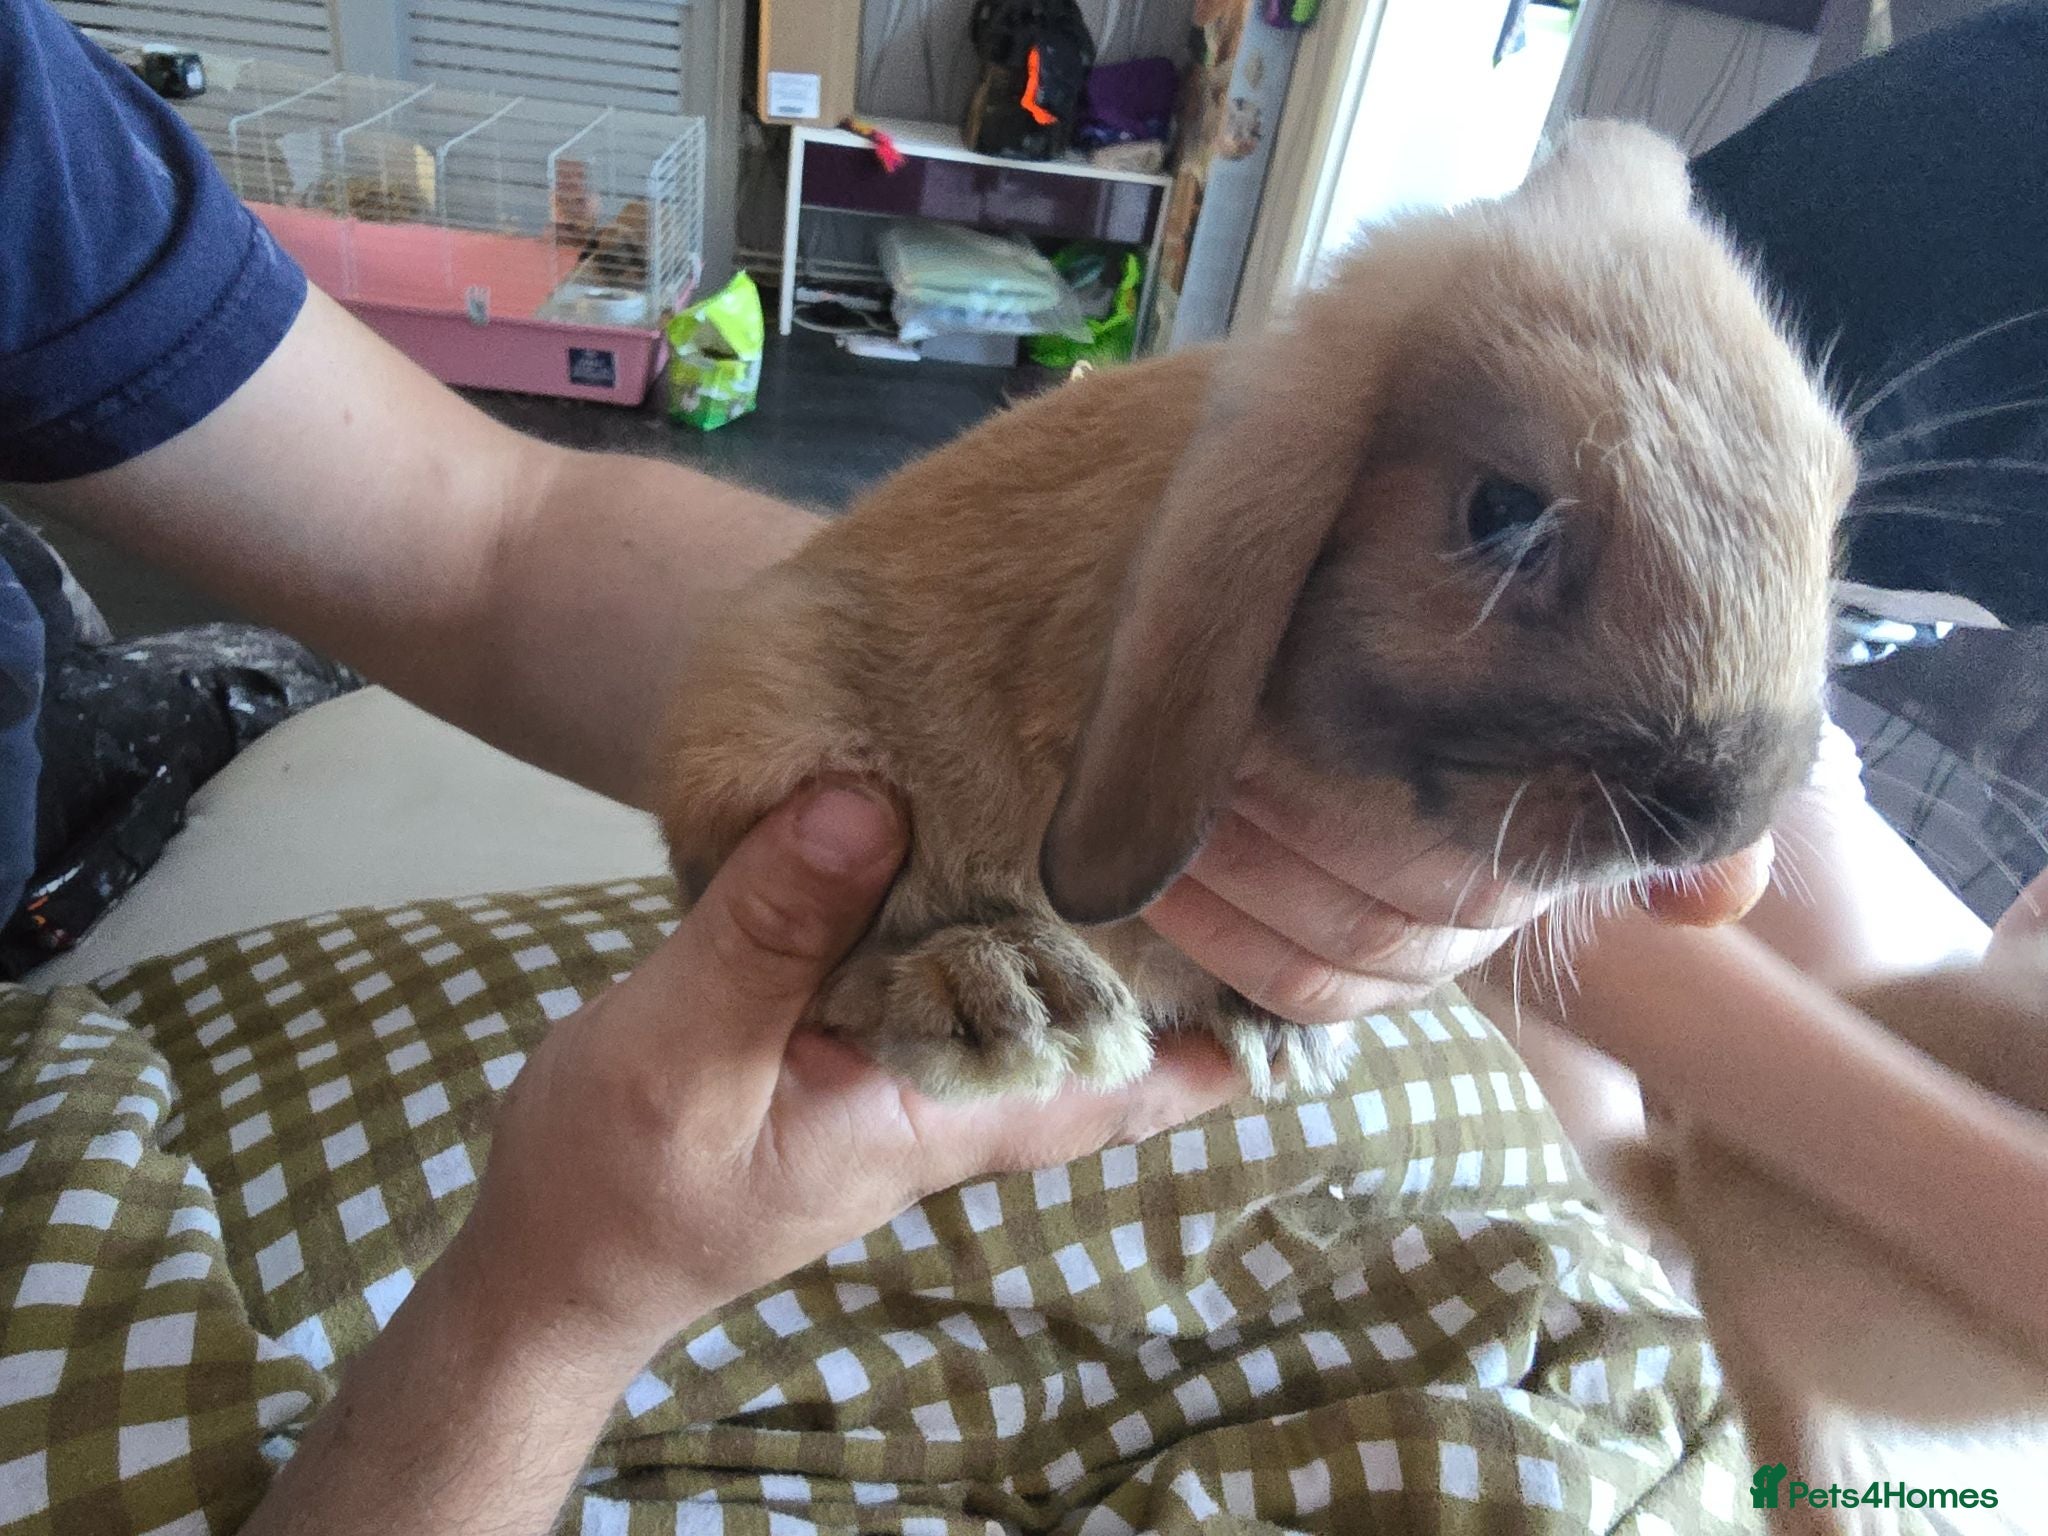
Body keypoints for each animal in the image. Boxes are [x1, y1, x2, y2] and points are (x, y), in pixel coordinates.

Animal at [655, 120, 1855, 1103]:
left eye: (1832, 490)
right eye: (1502, 513)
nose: (1720, 819)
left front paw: (1281, 1026)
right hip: (773, 722)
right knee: (831, 964)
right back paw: (1014, 998)